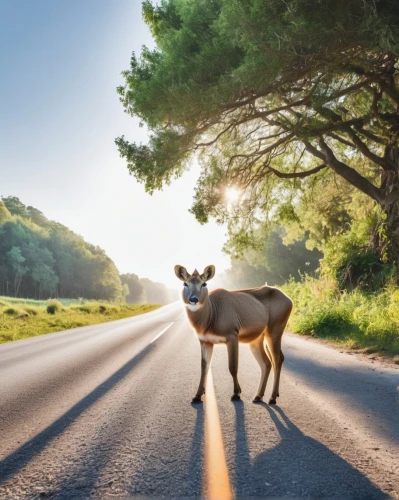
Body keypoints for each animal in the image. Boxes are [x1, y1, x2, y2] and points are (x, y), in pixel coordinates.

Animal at [175, 264, 294, 404]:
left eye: (204, 283)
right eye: (185, 283)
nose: (193, 299)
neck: (211, 316)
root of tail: (290, 300)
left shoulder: (232, 334)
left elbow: (232, 366)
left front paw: (236, 393)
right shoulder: (205, 341)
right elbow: (204, 368)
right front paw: (197, 396)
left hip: (275, 328)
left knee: (277, 360)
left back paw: (272, 398)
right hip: (257, 339)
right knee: (267, 363)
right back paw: (258, 396)